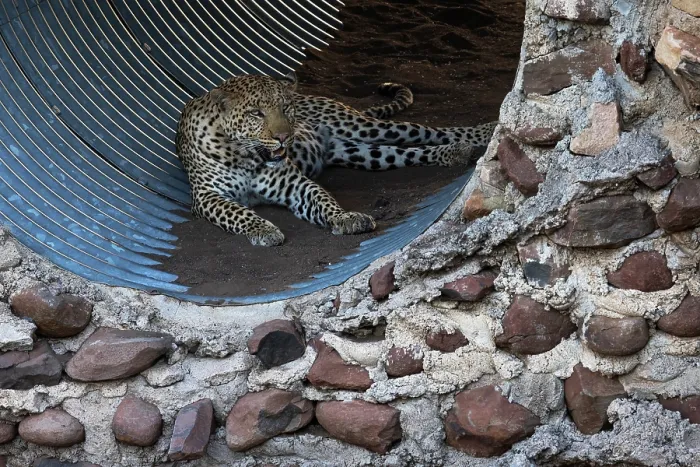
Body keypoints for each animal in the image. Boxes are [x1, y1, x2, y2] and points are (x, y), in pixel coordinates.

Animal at [175, 72, 496, 246]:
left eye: (285, 108)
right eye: (256, 113)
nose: (285, 137)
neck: (246, 155)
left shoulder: (294, 183)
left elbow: (320, 197)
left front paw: (346, 218)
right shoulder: (206, 196)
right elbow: (238, 212)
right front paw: (264, 229)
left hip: (362, 126)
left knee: (428, 131)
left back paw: (482, 132)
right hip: (365, 153)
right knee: (411, 152)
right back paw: (455, 152)